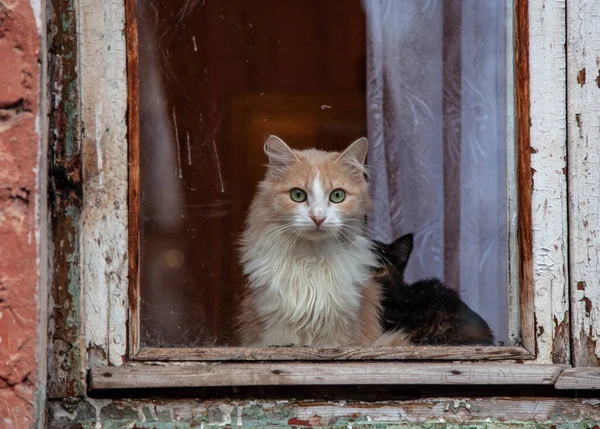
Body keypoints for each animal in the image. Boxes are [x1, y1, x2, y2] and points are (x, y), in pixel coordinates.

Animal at [234, 135, 408, 346]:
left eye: (337, 195)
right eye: (297, 195)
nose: (318, 218)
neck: (312, 258)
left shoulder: (342, 325)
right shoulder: (272, 319)